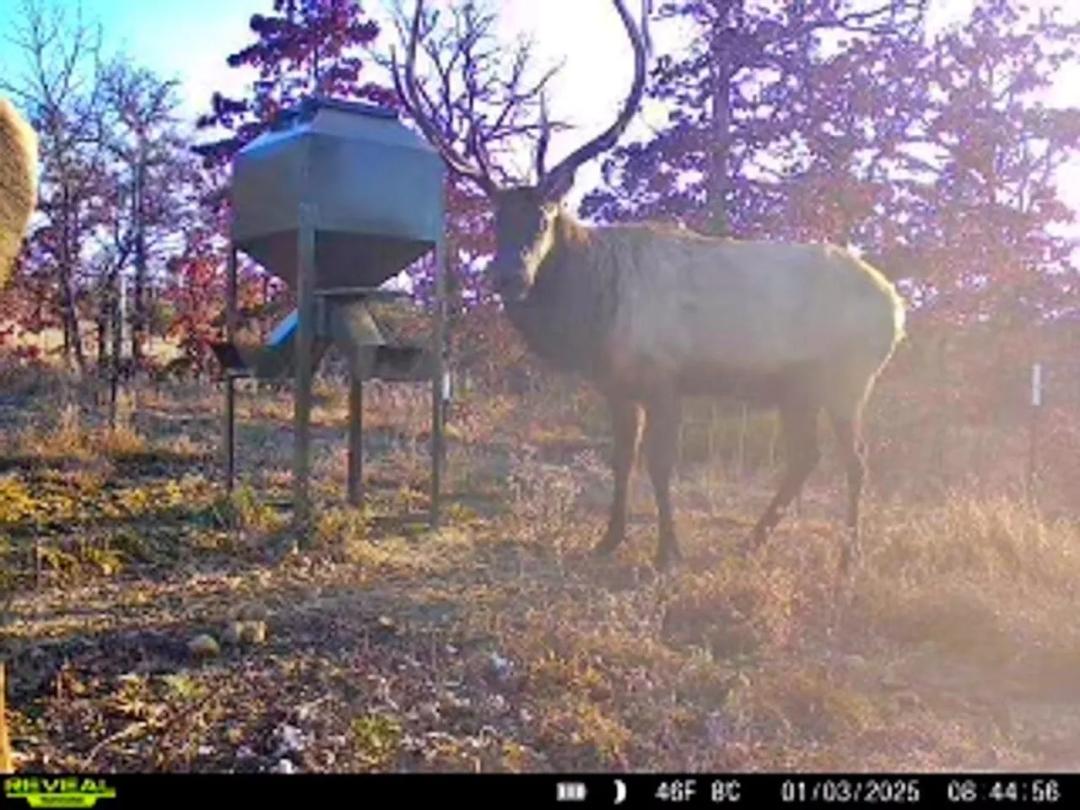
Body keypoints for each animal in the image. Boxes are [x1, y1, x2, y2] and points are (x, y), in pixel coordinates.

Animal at [393, 0, 906, 572]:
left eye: (546, 216)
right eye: (495, 217)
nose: (508, 273)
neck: (593, 321)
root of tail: (897, 307)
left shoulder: (665, 374)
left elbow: (660, 463)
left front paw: (668, 552)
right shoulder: (618, 385)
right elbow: (621, 458)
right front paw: (609, 539)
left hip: (849, 377)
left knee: (856, 460)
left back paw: (848, 557)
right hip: (798, 386)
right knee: (805, 457)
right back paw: (753, 541)